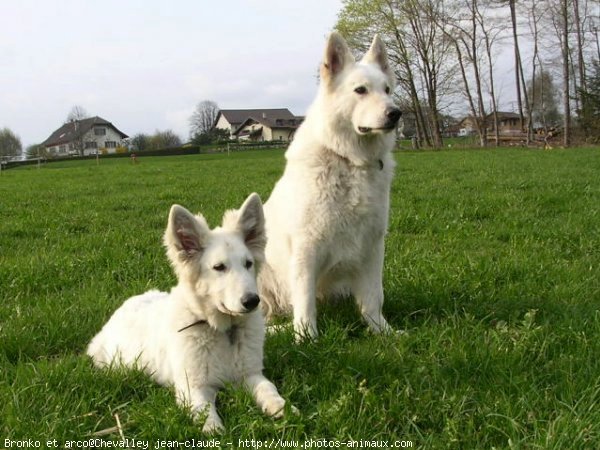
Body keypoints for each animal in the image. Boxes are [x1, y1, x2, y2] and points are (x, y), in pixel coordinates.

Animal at [86, 193, 290, 432]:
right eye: (219, 267)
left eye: (248, 264)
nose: (252, 301)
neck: (222, 331)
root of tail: (125, 305)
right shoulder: (193, 388)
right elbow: (205, 413)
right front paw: (216, 431)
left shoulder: (250, 374)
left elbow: (269, 389)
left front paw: (284, 409)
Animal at [258, 33, 404, 340]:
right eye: (360, 90)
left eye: (387, 90)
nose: (396, 113)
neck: (350, 161)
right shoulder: (306, 249)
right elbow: (305, 303)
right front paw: (306, 339)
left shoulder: (373, 246)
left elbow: (374, 298)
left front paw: (382, 332)